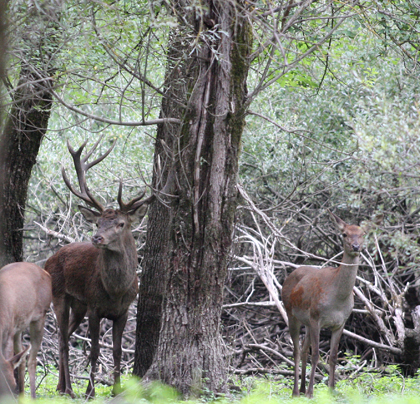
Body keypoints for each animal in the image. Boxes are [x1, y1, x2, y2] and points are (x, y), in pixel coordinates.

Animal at [0, 262, 52, 398]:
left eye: (13, 386)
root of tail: (46, 272)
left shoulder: (8, 334)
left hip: (41, 315)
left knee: (32, 358)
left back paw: (33, 397)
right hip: (19, 325)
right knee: (22, 353)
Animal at [45, 139, 151, 398]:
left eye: (121, 223)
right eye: (98, 222)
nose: (97, 238)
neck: (115, 291)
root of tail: (49, 259)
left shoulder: (123, 311)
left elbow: (117, 351)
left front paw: (117, 389)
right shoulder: (94, 306)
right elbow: (93, 351)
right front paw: (90, 392)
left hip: (78, 304)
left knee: (65, 334)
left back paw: (61, 386)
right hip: (59, 294)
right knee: (62, 338)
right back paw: (69, 389)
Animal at [280, 211, 366, 398]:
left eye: (363, 234)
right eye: (344, 234)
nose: (356, 246)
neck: (338, 299)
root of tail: (290, 275)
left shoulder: (341, 322)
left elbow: (333, 356)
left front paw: (332, 390)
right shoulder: (316, 318)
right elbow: (317, 355)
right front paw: (311, 392)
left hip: (306, 321)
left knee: (304, 349)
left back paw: (302, 388)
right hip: (291, 312)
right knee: (296, 350)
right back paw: (296, 391)